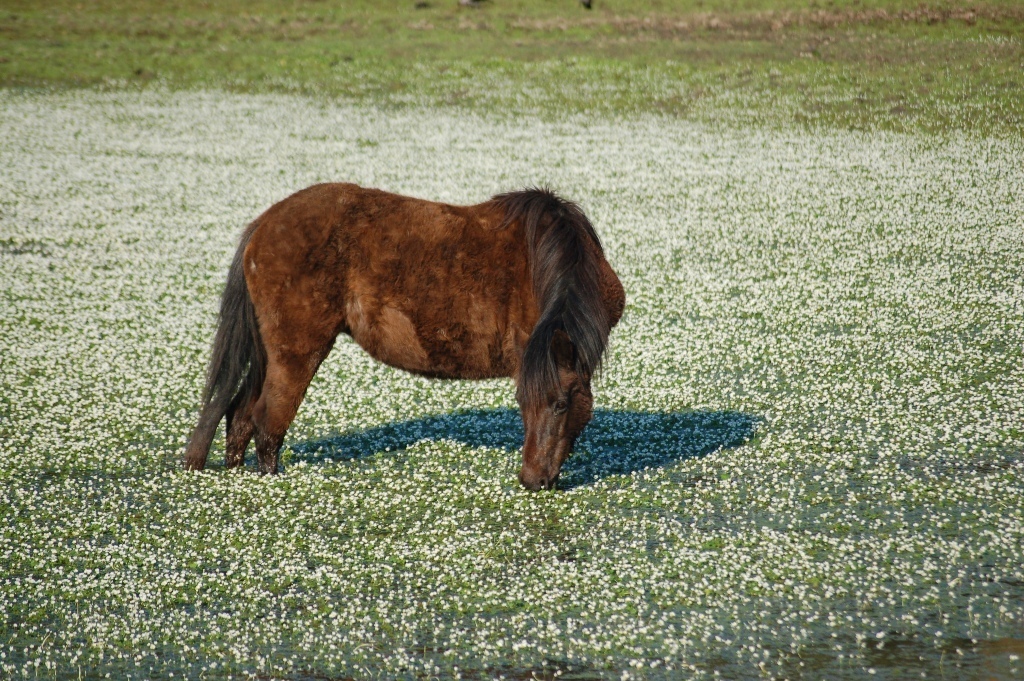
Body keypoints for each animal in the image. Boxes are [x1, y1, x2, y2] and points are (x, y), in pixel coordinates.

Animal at [188, 182, 626, 489]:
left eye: (560, 404)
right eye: (532, 403)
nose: (533, 480)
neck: (545, 265)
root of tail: (264, 223)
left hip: (269, 352)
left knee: (240, 417)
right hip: (295, 353)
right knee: (267, 423)